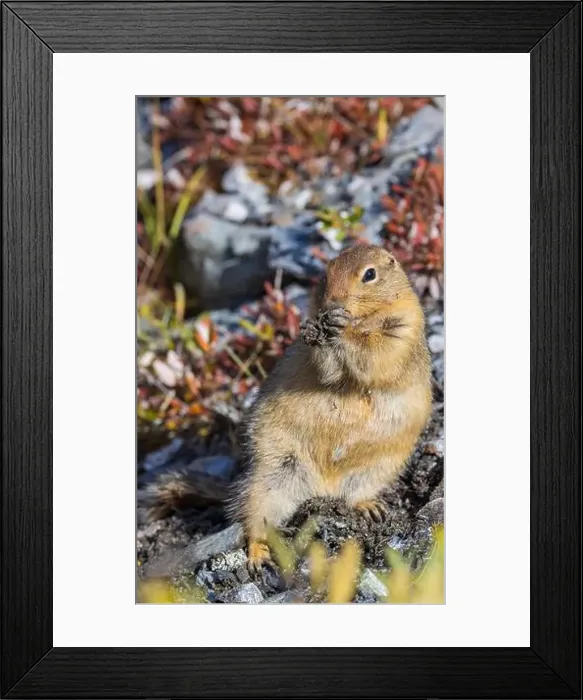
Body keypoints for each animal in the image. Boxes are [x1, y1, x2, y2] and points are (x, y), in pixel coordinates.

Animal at [141, 245, 432, 573]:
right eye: (325, 273)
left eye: (369, 274)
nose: (332, 303)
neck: (363, 319)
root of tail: (323, 489)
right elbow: (327, 370)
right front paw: (320, 332)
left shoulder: (403, 328)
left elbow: (377, 354)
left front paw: (341, 329)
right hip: (270, 478)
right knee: (253, 521)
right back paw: (258, 556)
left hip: (378, 470)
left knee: (354, 495)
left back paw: (370, 507)